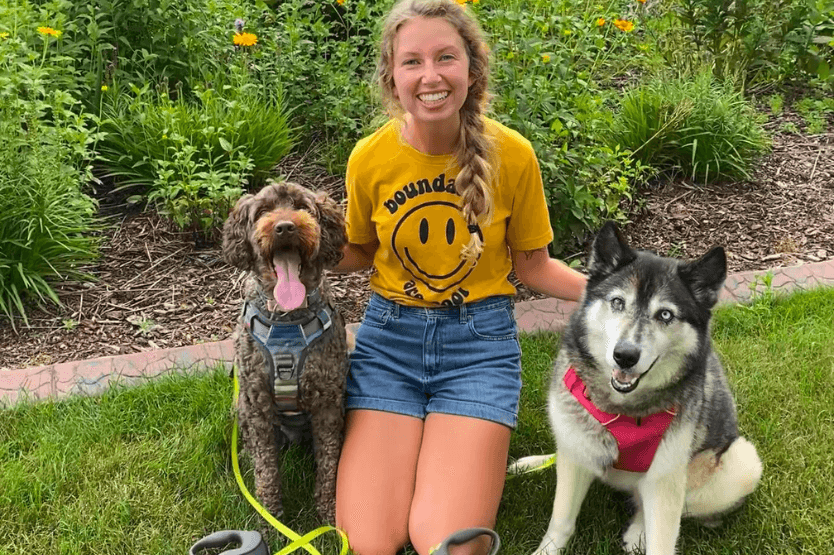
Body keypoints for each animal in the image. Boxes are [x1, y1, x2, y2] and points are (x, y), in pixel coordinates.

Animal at [219, 180, 346, 524]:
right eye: (263, 211)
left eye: (302, 207)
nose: (285, 227)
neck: (287, 318)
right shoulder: (258, 406)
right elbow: (266, 471)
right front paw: (270, 519)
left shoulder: (328, 404)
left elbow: (330, 465)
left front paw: (329, 514)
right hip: (241, 408)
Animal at [532, 223, 760, 555]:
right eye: (617, 302)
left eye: (665, 314)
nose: (625, 356)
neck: (623, 411)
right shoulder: (574, 459)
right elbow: (561, 521)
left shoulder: (665, 479)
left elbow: (662, 539)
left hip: (740, 463)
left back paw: (638, 530)